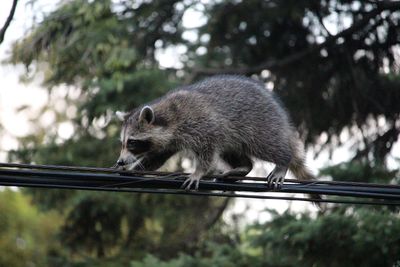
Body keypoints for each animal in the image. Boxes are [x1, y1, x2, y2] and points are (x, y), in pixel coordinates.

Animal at [115, 75, 316, 192]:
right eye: (122, 143)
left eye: (132, 142)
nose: (120, 161)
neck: (170, 117)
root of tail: (281, 116)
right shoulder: (169, 141)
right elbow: (156, 158)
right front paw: (135, 169)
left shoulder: (202, 124)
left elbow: (208, 151)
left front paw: (199, 171)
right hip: (235, 135)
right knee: (231, 151)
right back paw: (243, 166)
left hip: (260, 124)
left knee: (268, 145)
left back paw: (283, 160)